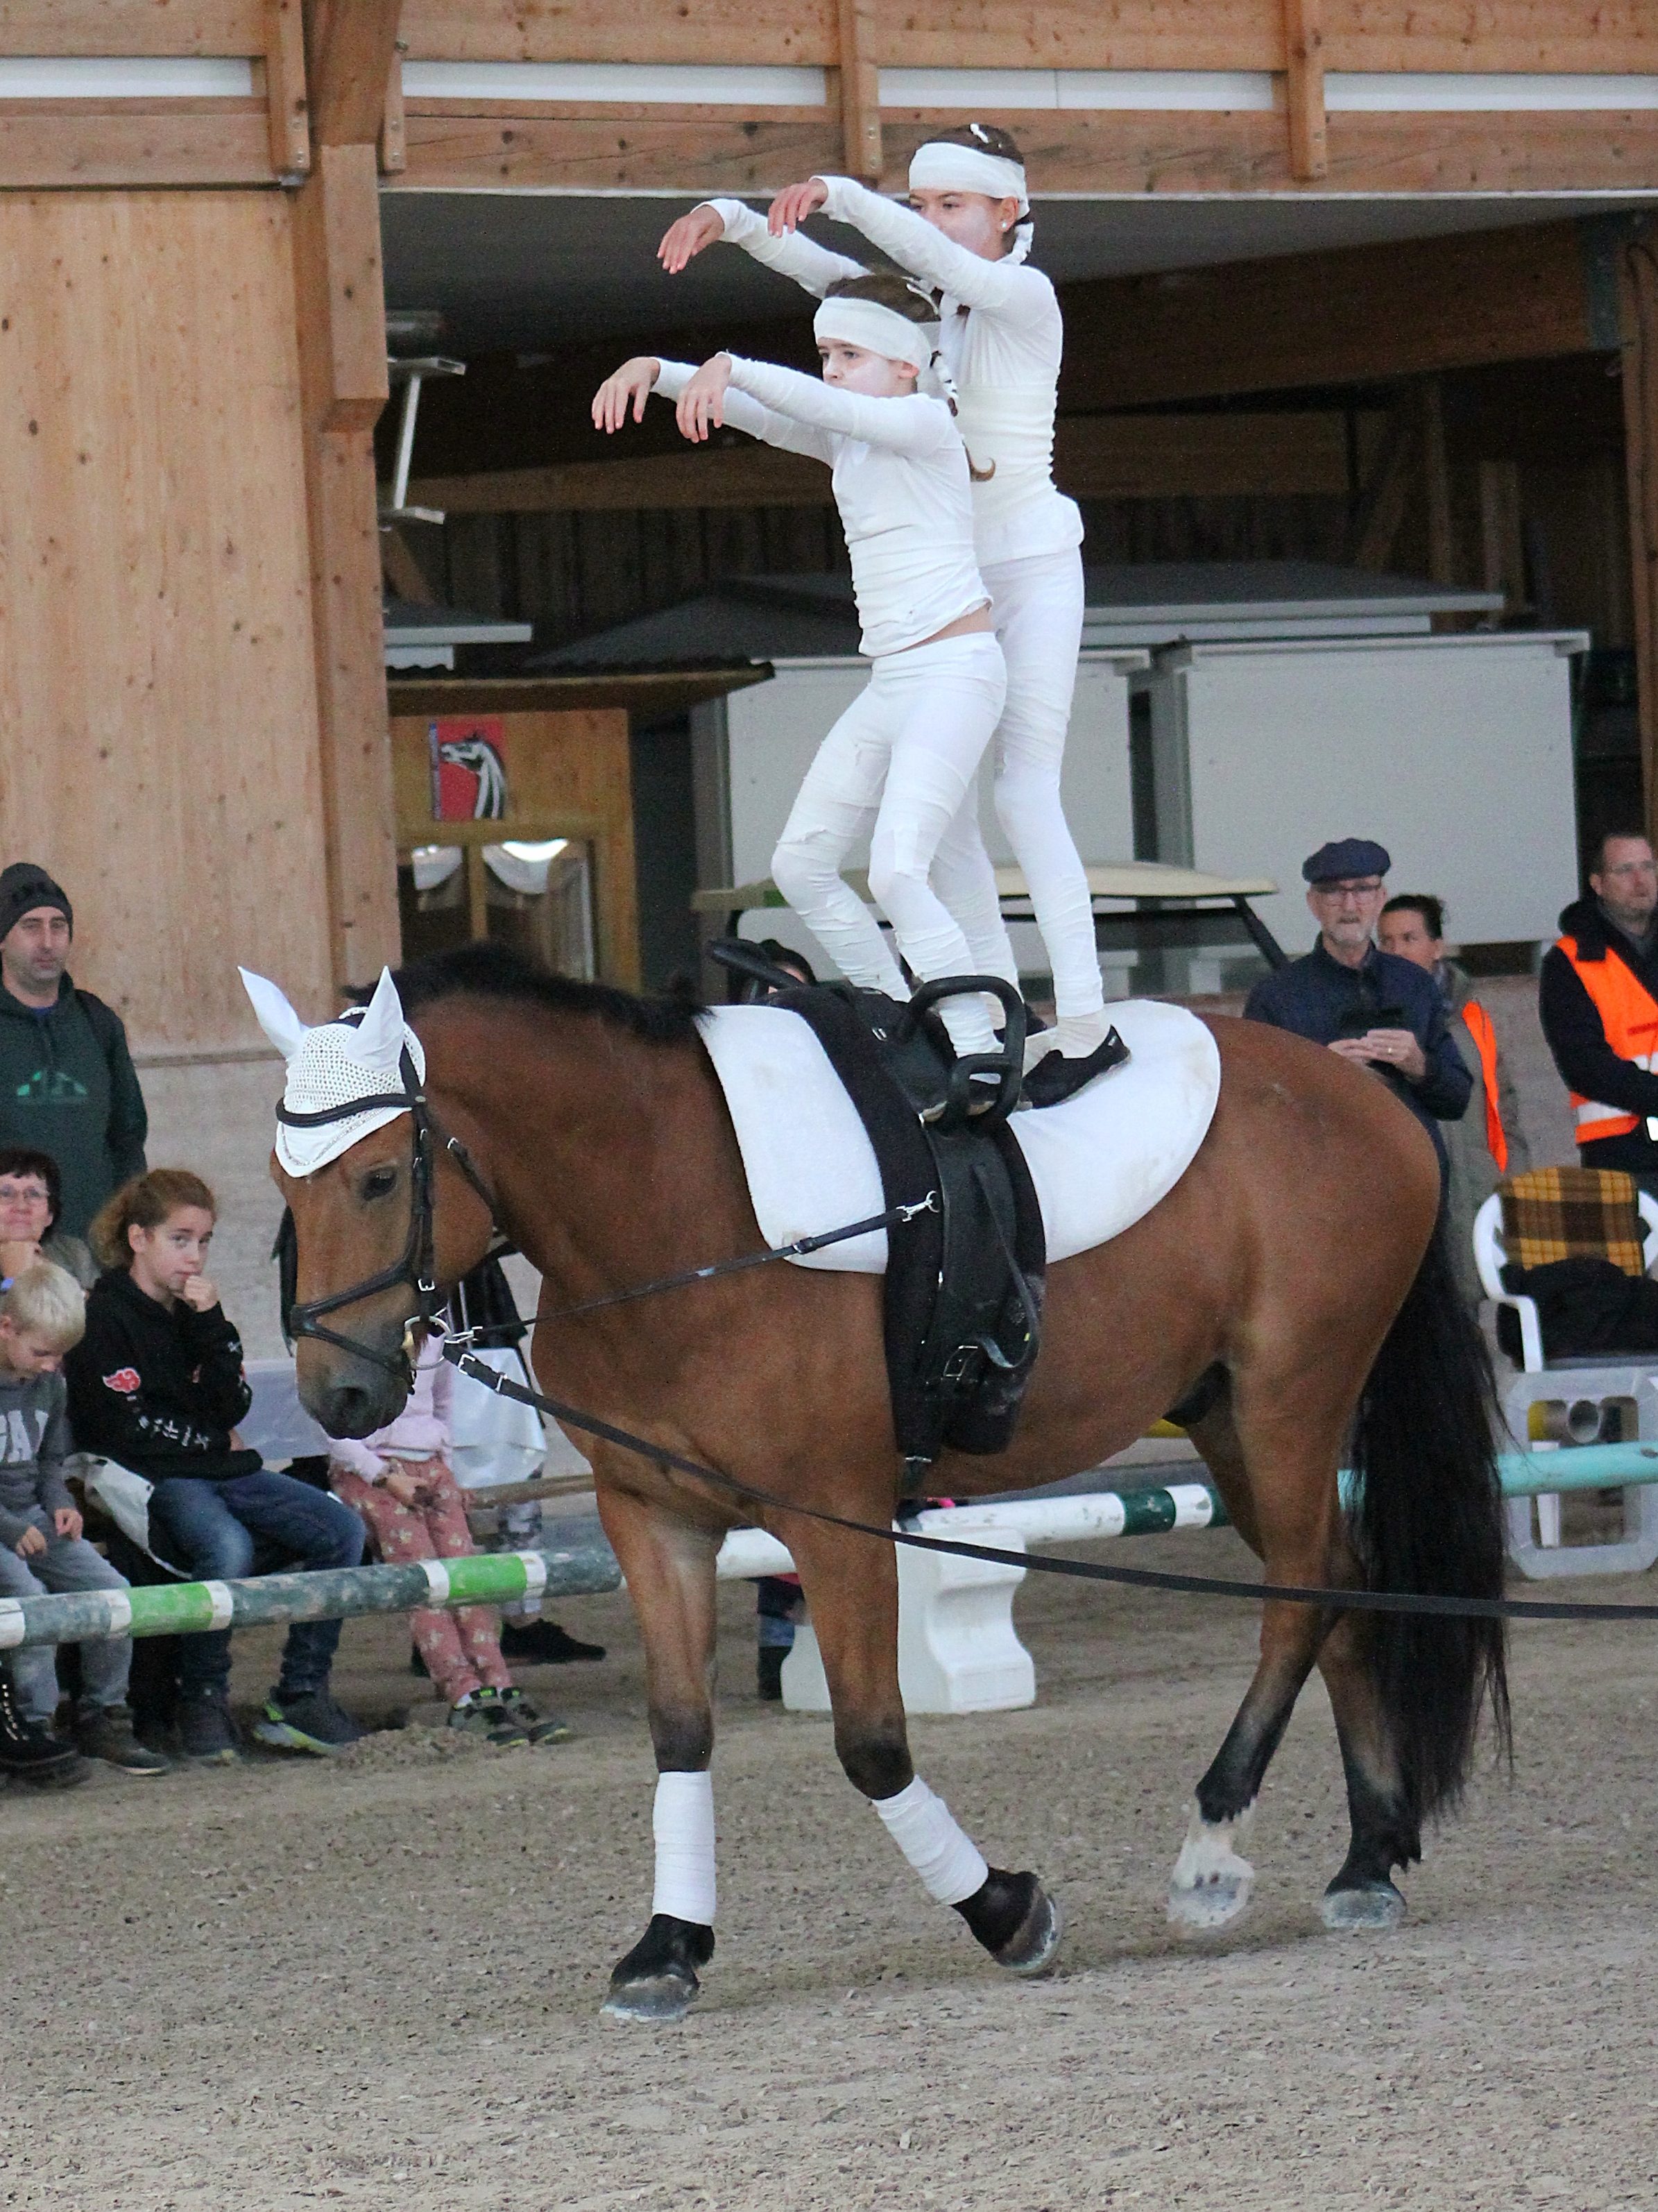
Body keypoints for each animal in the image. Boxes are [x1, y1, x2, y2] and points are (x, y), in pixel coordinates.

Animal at [261, 942, 1507, 2021]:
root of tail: (1368, 1092)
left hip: (1291, 1396)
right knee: (1337, 1585)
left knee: (1298, 1596)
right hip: (1223, 1417)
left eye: (379, 1178)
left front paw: (1008, 1912)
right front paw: (667, 1946)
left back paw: (1210, 1852)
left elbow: (869, 1740)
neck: (671, 1209)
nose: (336, 1395)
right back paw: (1368, 1858)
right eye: (284, 1182)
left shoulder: (838, 1518)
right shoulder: (651, 1515)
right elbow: (678, 1727)